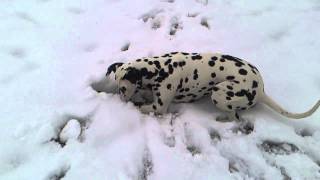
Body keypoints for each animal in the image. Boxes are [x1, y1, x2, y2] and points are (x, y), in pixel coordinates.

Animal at [107, 51, 320, 121]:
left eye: (123, 88)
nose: (120, 100)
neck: (160, 68)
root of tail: (260, 91)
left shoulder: (158, 107)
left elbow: (142, 107)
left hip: (219, 92)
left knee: (234, 117)